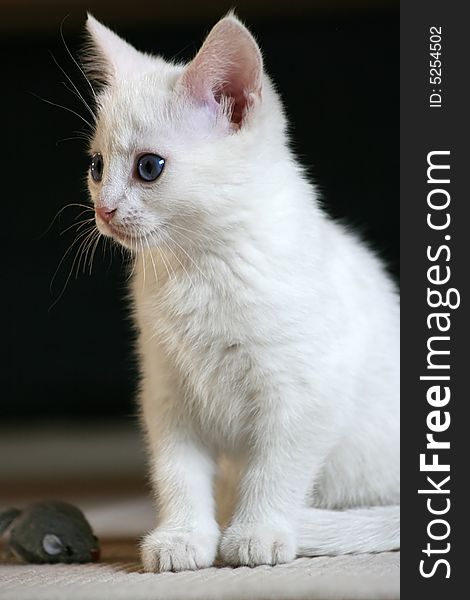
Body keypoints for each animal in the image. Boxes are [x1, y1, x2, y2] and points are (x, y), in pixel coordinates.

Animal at [82, 11, 398, 568]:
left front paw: (257, 532)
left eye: (149, 167)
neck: (200, 269)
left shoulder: (306, 392)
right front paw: (183, 536)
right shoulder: (167, 393)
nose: (105, 210)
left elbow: (274, 469)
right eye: (96, 166)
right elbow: (177, 472)